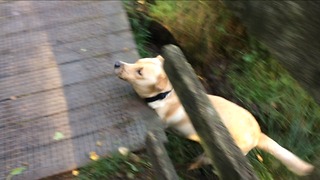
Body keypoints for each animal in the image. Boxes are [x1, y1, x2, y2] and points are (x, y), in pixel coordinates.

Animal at [114, 55, 314, 176]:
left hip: (212, 155)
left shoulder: (161, 123)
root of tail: (258, 133)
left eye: (140, 72)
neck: (166, 94)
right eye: (136, 61)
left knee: (201, 162)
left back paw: (189, 167)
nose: (116, 63)